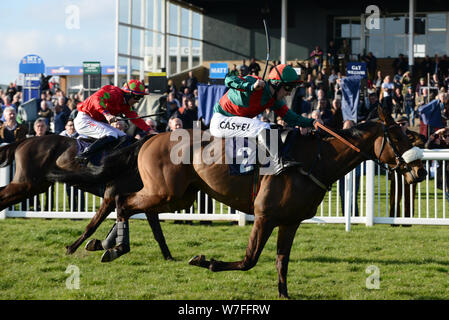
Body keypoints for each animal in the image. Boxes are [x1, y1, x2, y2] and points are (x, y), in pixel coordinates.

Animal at [0, 134, 172, 260]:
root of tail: (25, 141)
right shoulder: (111, 196)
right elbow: (92, 225)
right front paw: (73, 247)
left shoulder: (144, 201)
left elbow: (157, 232)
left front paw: (168, 256)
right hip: (26, 184)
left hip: (33, 186)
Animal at [50, 107, 426, 298]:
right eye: (399, 136)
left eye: (411, 134)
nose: (421, 171)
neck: (313, 160)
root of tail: (148, 137)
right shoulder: (264, 215)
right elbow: (248, 260)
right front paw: (207, 261)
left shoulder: (290, 221)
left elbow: (281, 262)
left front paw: (284, 294)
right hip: (167, 191)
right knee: (124, 201)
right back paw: (111, 246)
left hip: (179, 194)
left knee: (127, 203)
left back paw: (102, 243)